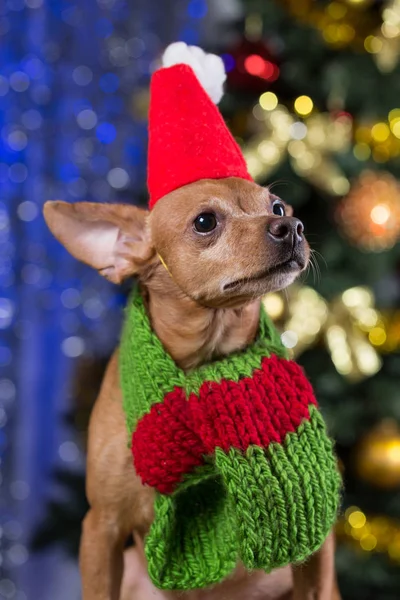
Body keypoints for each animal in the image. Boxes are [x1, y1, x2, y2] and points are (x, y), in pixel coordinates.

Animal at [44, 176, 344, 596]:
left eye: (277, 207)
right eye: (205, 222)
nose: (293, 226)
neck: (206, 359)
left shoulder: (320, 541)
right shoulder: (101, 527)